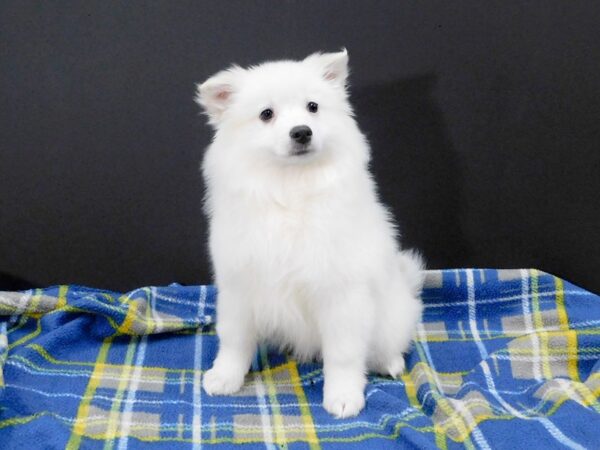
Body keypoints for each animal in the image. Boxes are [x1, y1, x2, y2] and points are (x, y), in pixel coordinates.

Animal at [195, 50, 424, 418]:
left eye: (313, 107)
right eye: (266, 114)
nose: (301, 132)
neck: (291, 187)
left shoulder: (342, 295)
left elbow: (344, 354)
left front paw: (343, 397)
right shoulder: (239, 285)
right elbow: (234, 339)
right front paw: (224, 377)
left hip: (391, 314)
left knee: (387, 341)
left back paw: (389, 362)